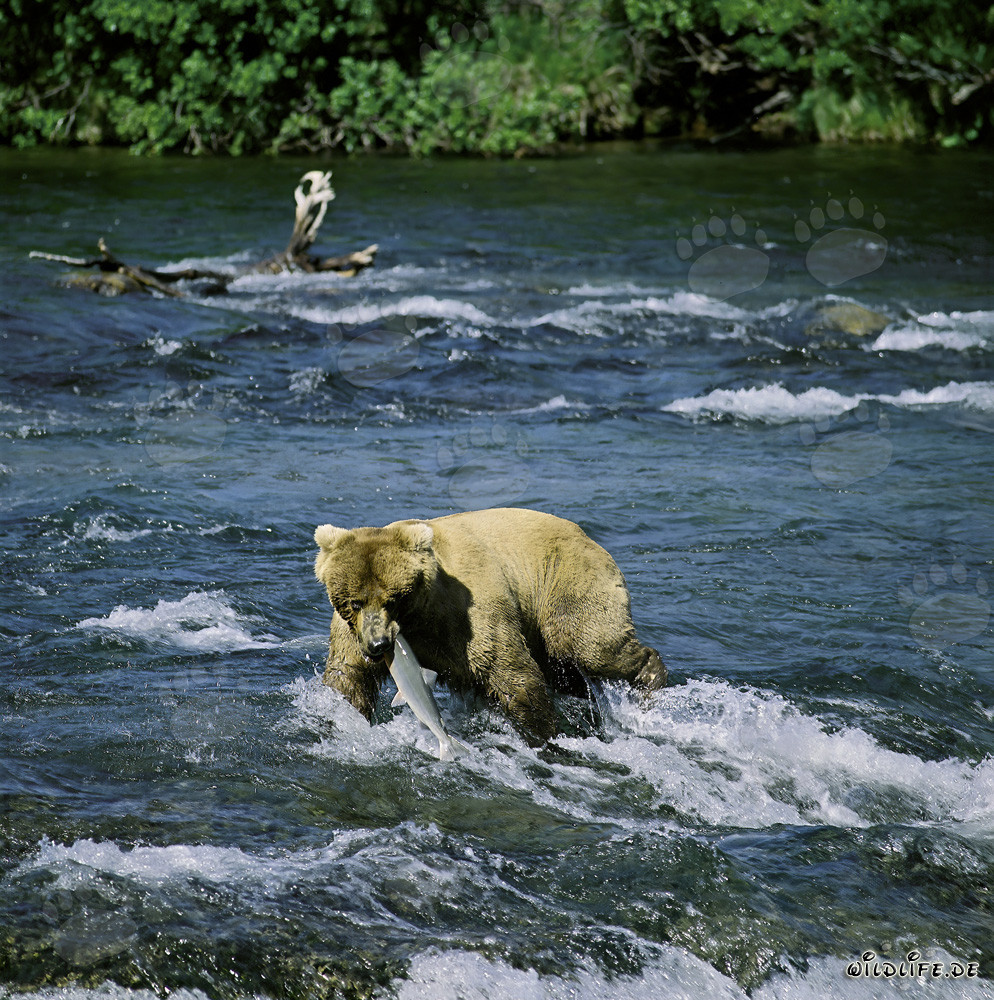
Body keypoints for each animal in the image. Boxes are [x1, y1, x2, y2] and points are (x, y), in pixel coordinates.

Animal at [313, 507, 666, 744]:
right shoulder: (351, 632)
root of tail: (590, 537)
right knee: (564, 670)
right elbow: (348, 678)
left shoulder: (468, 615)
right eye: (355, 601)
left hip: (566, 582)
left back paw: (649, 681)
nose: (379, 645)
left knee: (588, 646)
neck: (419, 620)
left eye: (393, 599)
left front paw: (543, 735)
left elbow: (512, 675)